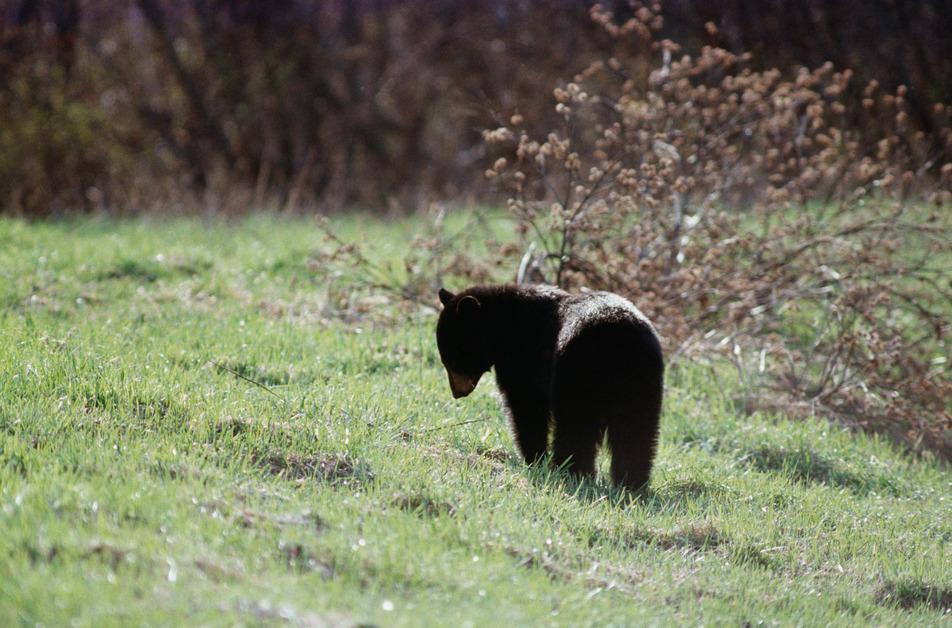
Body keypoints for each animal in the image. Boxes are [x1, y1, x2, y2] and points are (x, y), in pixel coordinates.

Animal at [436, 284, 664, 490]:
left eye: (453, 358)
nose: (457, 392)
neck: (504, 328)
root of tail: (618, 340)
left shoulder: (524, 361)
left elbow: (526, 408)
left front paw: (534, 459)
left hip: (577, 372)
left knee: (576, 426)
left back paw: (570, 471)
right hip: (643, 382)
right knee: (637, 432)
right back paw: (632, 484)